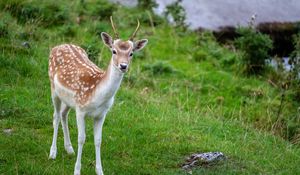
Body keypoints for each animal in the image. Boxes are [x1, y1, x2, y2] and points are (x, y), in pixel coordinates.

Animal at [47, 16, 149, 175]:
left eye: (131, 53)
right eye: (114, 51)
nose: (123, 66)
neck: (97, 96)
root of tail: (57, 46)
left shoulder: (101, 114)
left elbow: (98, 140)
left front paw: (100, 170)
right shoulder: (81, 109)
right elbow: (82, 138)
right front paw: (77, 170)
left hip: (68, 100)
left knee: (63, 114)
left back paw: (69, 149)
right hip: (54, 89)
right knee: (56, 116)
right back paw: (52, 153)